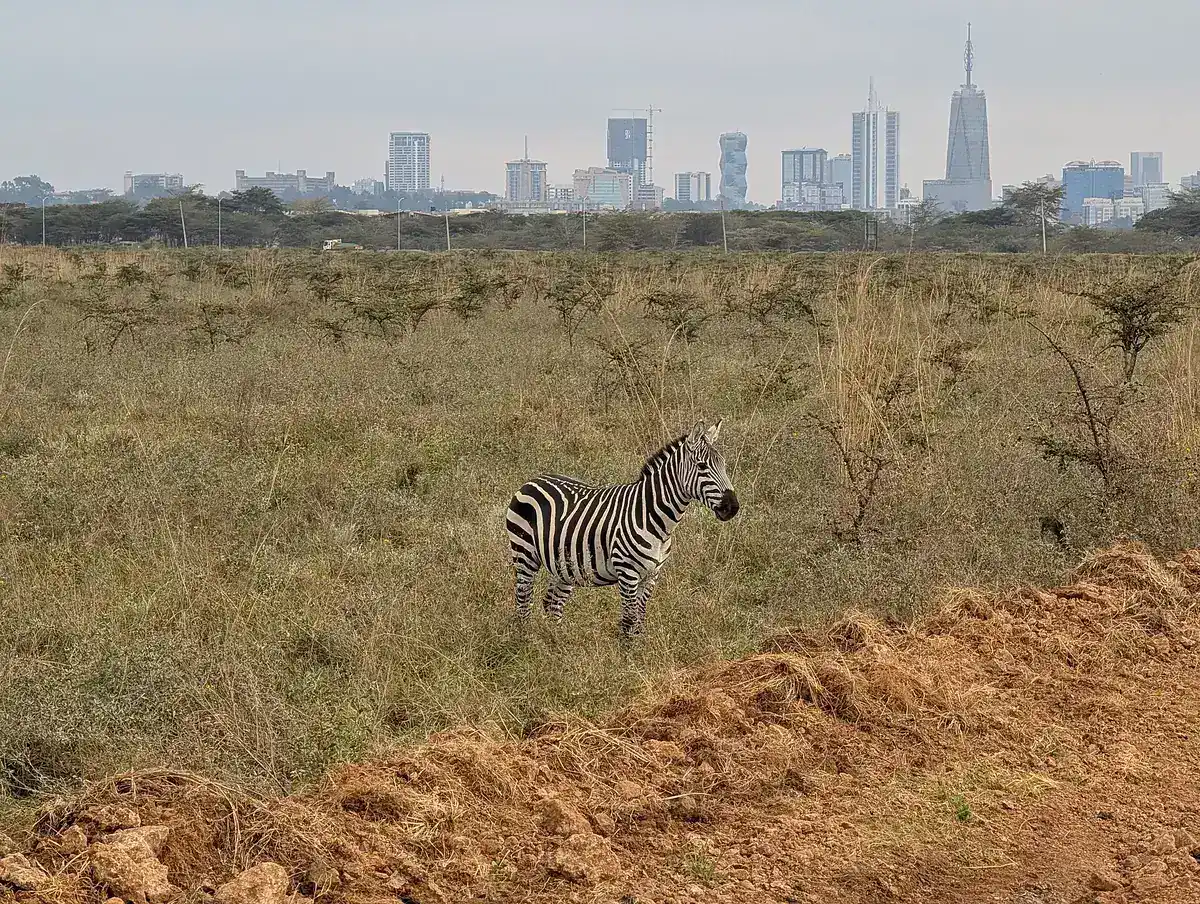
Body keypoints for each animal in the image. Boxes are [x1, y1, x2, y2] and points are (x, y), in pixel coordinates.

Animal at [505, 420, 739, 637]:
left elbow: (640, 619)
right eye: (702, 466)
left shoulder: (651, 575)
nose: (733, 507)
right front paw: (627, 653)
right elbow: (629, 620)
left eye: (724, 465)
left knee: (552, 603)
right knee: (523, 600)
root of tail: (532, 480)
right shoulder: (628, 573)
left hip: (563, 564)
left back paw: (555, 641)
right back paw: (526, 641)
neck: (653, 516)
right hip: (525, 553)